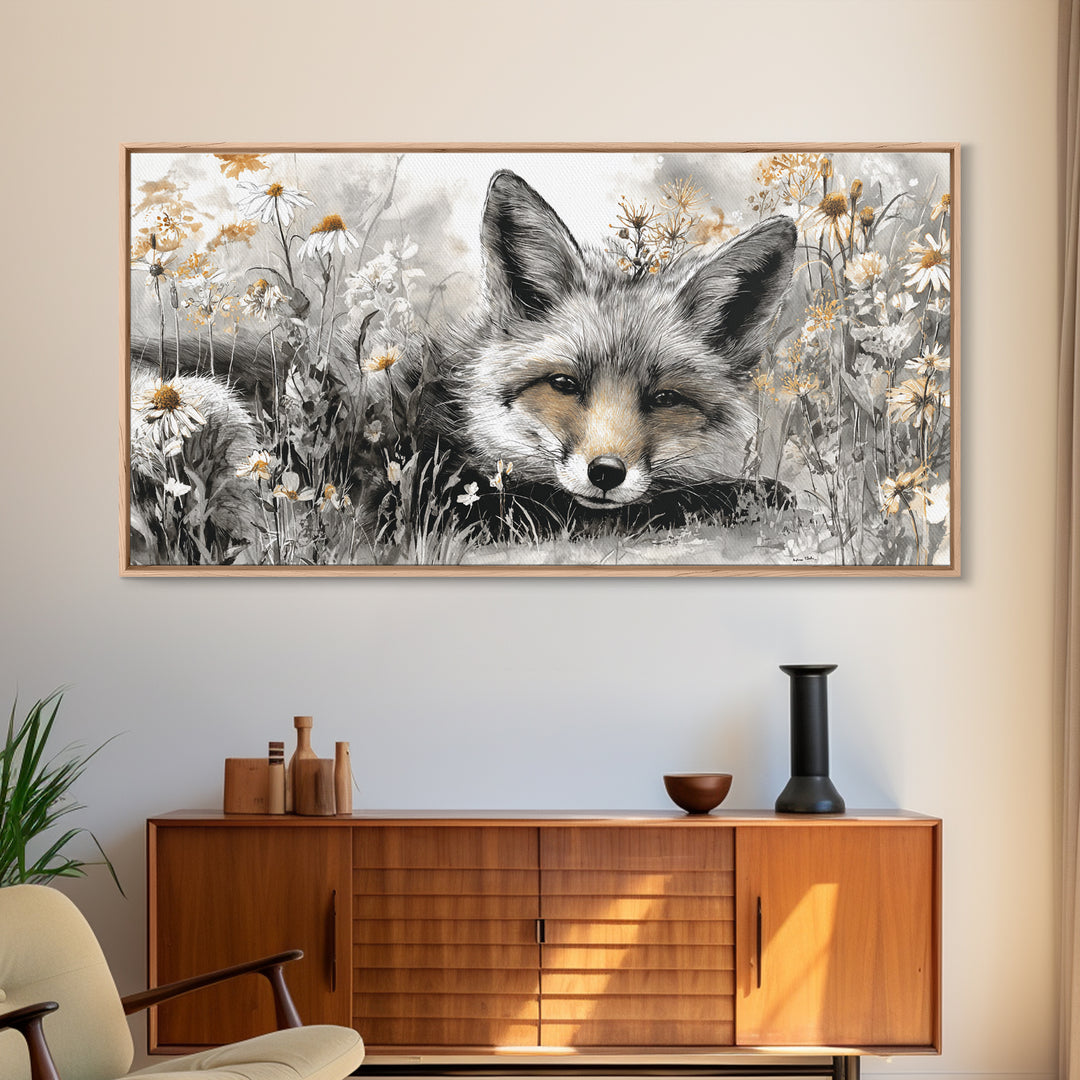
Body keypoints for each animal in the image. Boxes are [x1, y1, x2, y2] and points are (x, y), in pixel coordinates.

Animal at [399, 169, 799, 533]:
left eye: (666, 398)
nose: (606, 473)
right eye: (563, 383)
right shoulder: (462, 506)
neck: (452, 419)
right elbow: (659, 502)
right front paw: (750, 492)